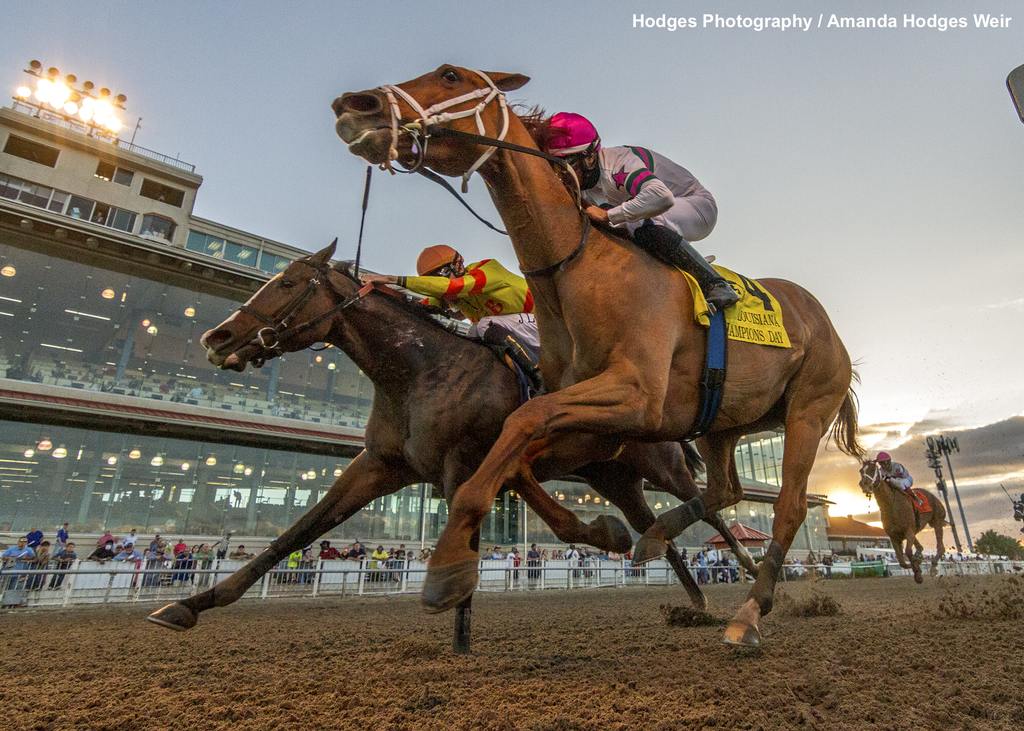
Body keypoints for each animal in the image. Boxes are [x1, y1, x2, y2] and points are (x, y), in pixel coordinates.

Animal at [148, 244, 761, 651]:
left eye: (287, 282)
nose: (218, 337)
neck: (417, 370)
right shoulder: (382, 466)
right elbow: (296, 533)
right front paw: (188, 604)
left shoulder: (474, 458)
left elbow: (529, 515)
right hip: (615, 479)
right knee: (663, 529)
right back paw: (693, 600)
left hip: (663, 468)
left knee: (714, 507)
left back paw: (752, 575)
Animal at [333, 62, 864, 642]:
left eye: (450, 75)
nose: (354, 105)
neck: (576, 266)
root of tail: (824, 322)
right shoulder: (597, 421)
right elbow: (517, 449)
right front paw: (601, 532)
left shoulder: (636, 395)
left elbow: (522, 423)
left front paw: (448, 565)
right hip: (724, 422)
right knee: (725, 490)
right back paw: (658, 536)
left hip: (808, 409)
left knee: (789, 506)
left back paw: (748, 612)